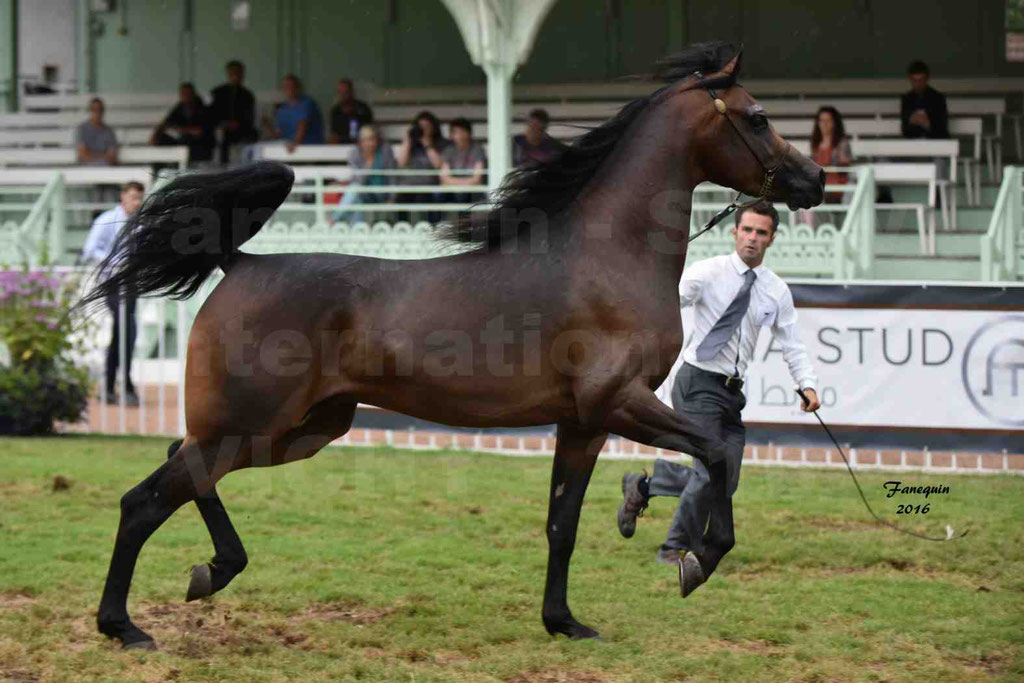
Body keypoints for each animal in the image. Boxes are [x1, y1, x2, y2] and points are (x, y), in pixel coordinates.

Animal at [86, 44, 823, 651]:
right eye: (757, 117)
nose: (814, 179)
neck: (609, 256)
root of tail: (237, 263)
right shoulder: (620, 402)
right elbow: (718, 450)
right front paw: (699, 561)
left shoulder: (582, 423)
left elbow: (562, 524)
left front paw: (564, 621)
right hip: (253, 424)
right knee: (147, 498)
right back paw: (127, 624)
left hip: (299, 429)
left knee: (179, 464)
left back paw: (208, 572)